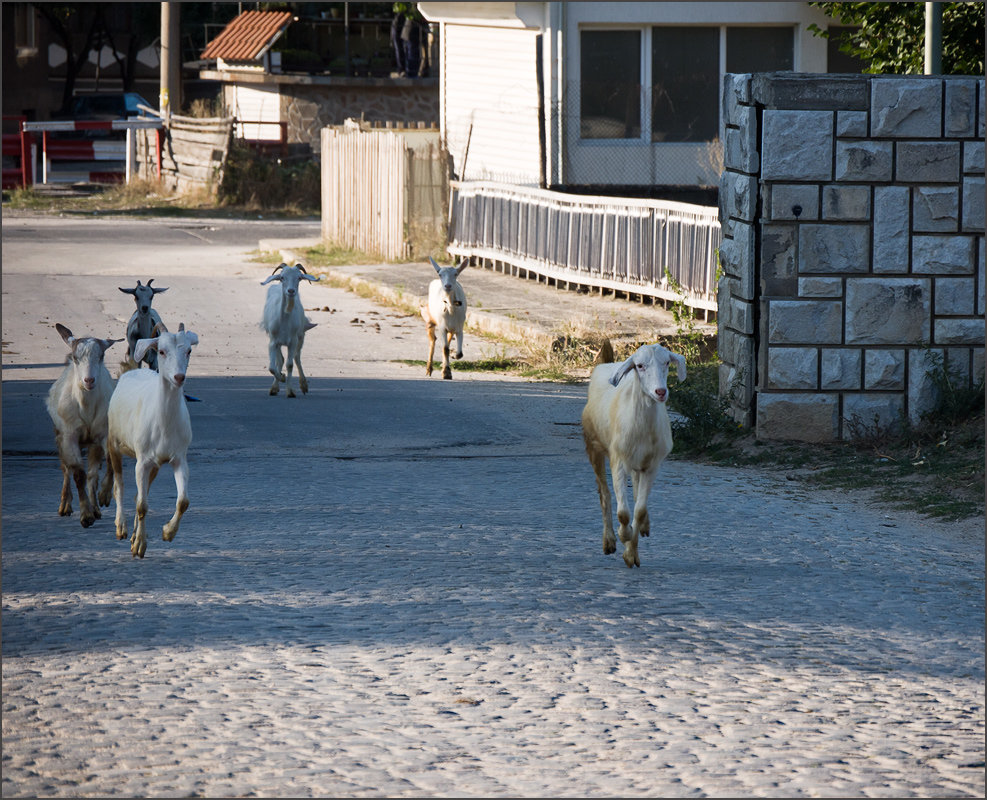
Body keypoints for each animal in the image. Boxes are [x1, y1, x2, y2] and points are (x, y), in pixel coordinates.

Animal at [45, 322, 122, 528]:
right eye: (75, 358)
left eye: (101, 356)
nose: (89, 380)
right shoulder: (69, 436)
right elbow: (77, 474)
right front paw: (85, 515)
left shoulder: (104, 434)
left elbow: (109, 463)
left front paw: (104, 497)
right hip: (59, 436)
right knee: (66, 469)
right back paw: (65, 505)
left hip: (92, 443)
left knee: (92, 475)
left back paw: (96, 507)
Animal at [101, 318, 200, 556]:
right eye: (162, 351)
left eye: (189, 350)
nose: (179, 377)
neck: (164, 423)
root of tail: (131, 371)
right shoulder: (142, 461)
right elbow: (141, 504)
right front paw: (139, 546)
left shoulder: (178, 458)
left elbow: (183, 501)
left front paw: (167, 532)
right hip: (114, 443)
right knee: (119, 486)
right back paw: (121, 528)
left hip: (155, 464)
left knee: (140, 492)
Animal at [260, 264, 318, 398]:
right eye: (282, 277)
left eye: (299, 278)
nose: (291, 291)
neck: (285, 322)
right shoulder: (273, 342)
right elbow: (272, 367)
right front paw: (281, 377)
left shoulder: (293, 341)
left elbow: (290, 364)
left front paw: (290, 391)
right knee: (280, 360)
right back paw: (275, 387)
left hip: (300, 337)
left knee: (297, 358)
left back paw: (303, 385)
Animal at [580, 344, 688, 568]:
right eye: (639, 366)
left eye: (667, 362)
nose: (660, 392)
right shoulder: (618, 461)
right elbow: (623, 513)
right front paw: (624, 535)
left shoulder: (652, 465)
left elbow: (639, 510)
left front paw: (631, 553)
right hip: (593, 447)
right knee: (604, 494)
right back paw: (609, 541)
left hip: (638, 463)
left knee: (637, 494)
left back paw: (643, 527)